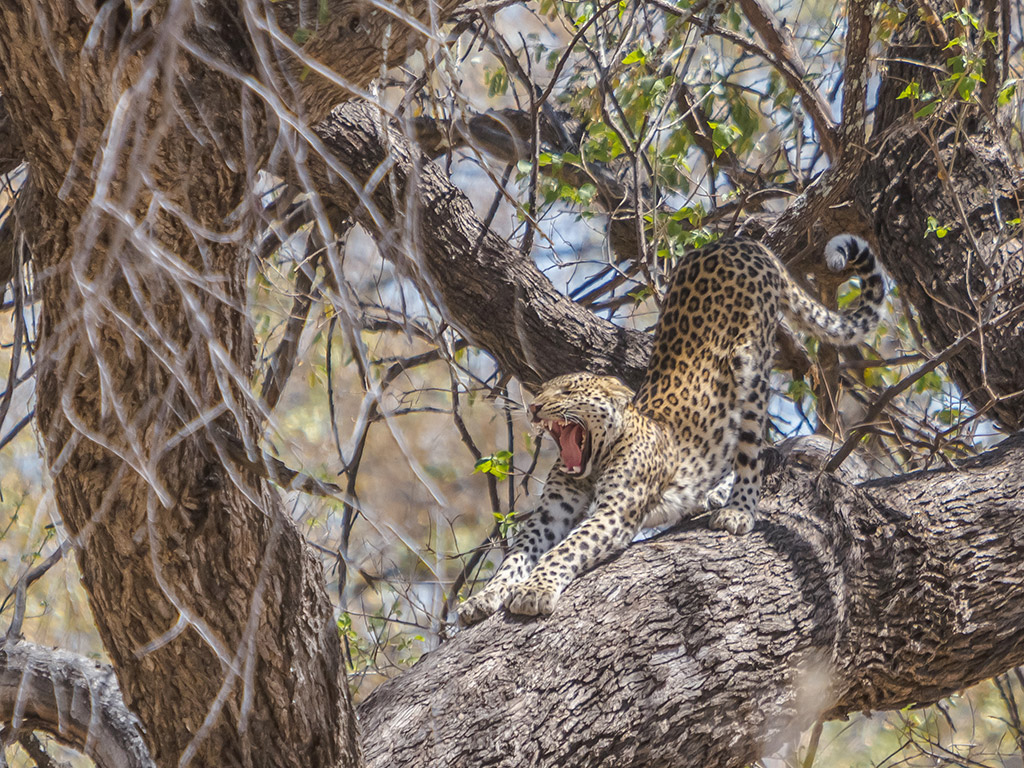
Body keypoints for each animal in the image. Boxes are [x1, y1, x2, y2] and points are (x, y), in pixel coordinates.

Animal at [458, 234, 884, 625]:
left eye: (568, 390)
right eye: (543, 390)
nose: (534, 407)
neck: (595, 459)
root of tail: (738, 240)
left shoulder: (614, 511)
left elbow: (565, 549)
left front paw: (534, 590)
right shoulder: (551, 514)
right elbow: (517, 554)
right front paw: (485, 596)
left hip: (751, 368)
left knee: (753, 449)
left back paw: (737, 509)